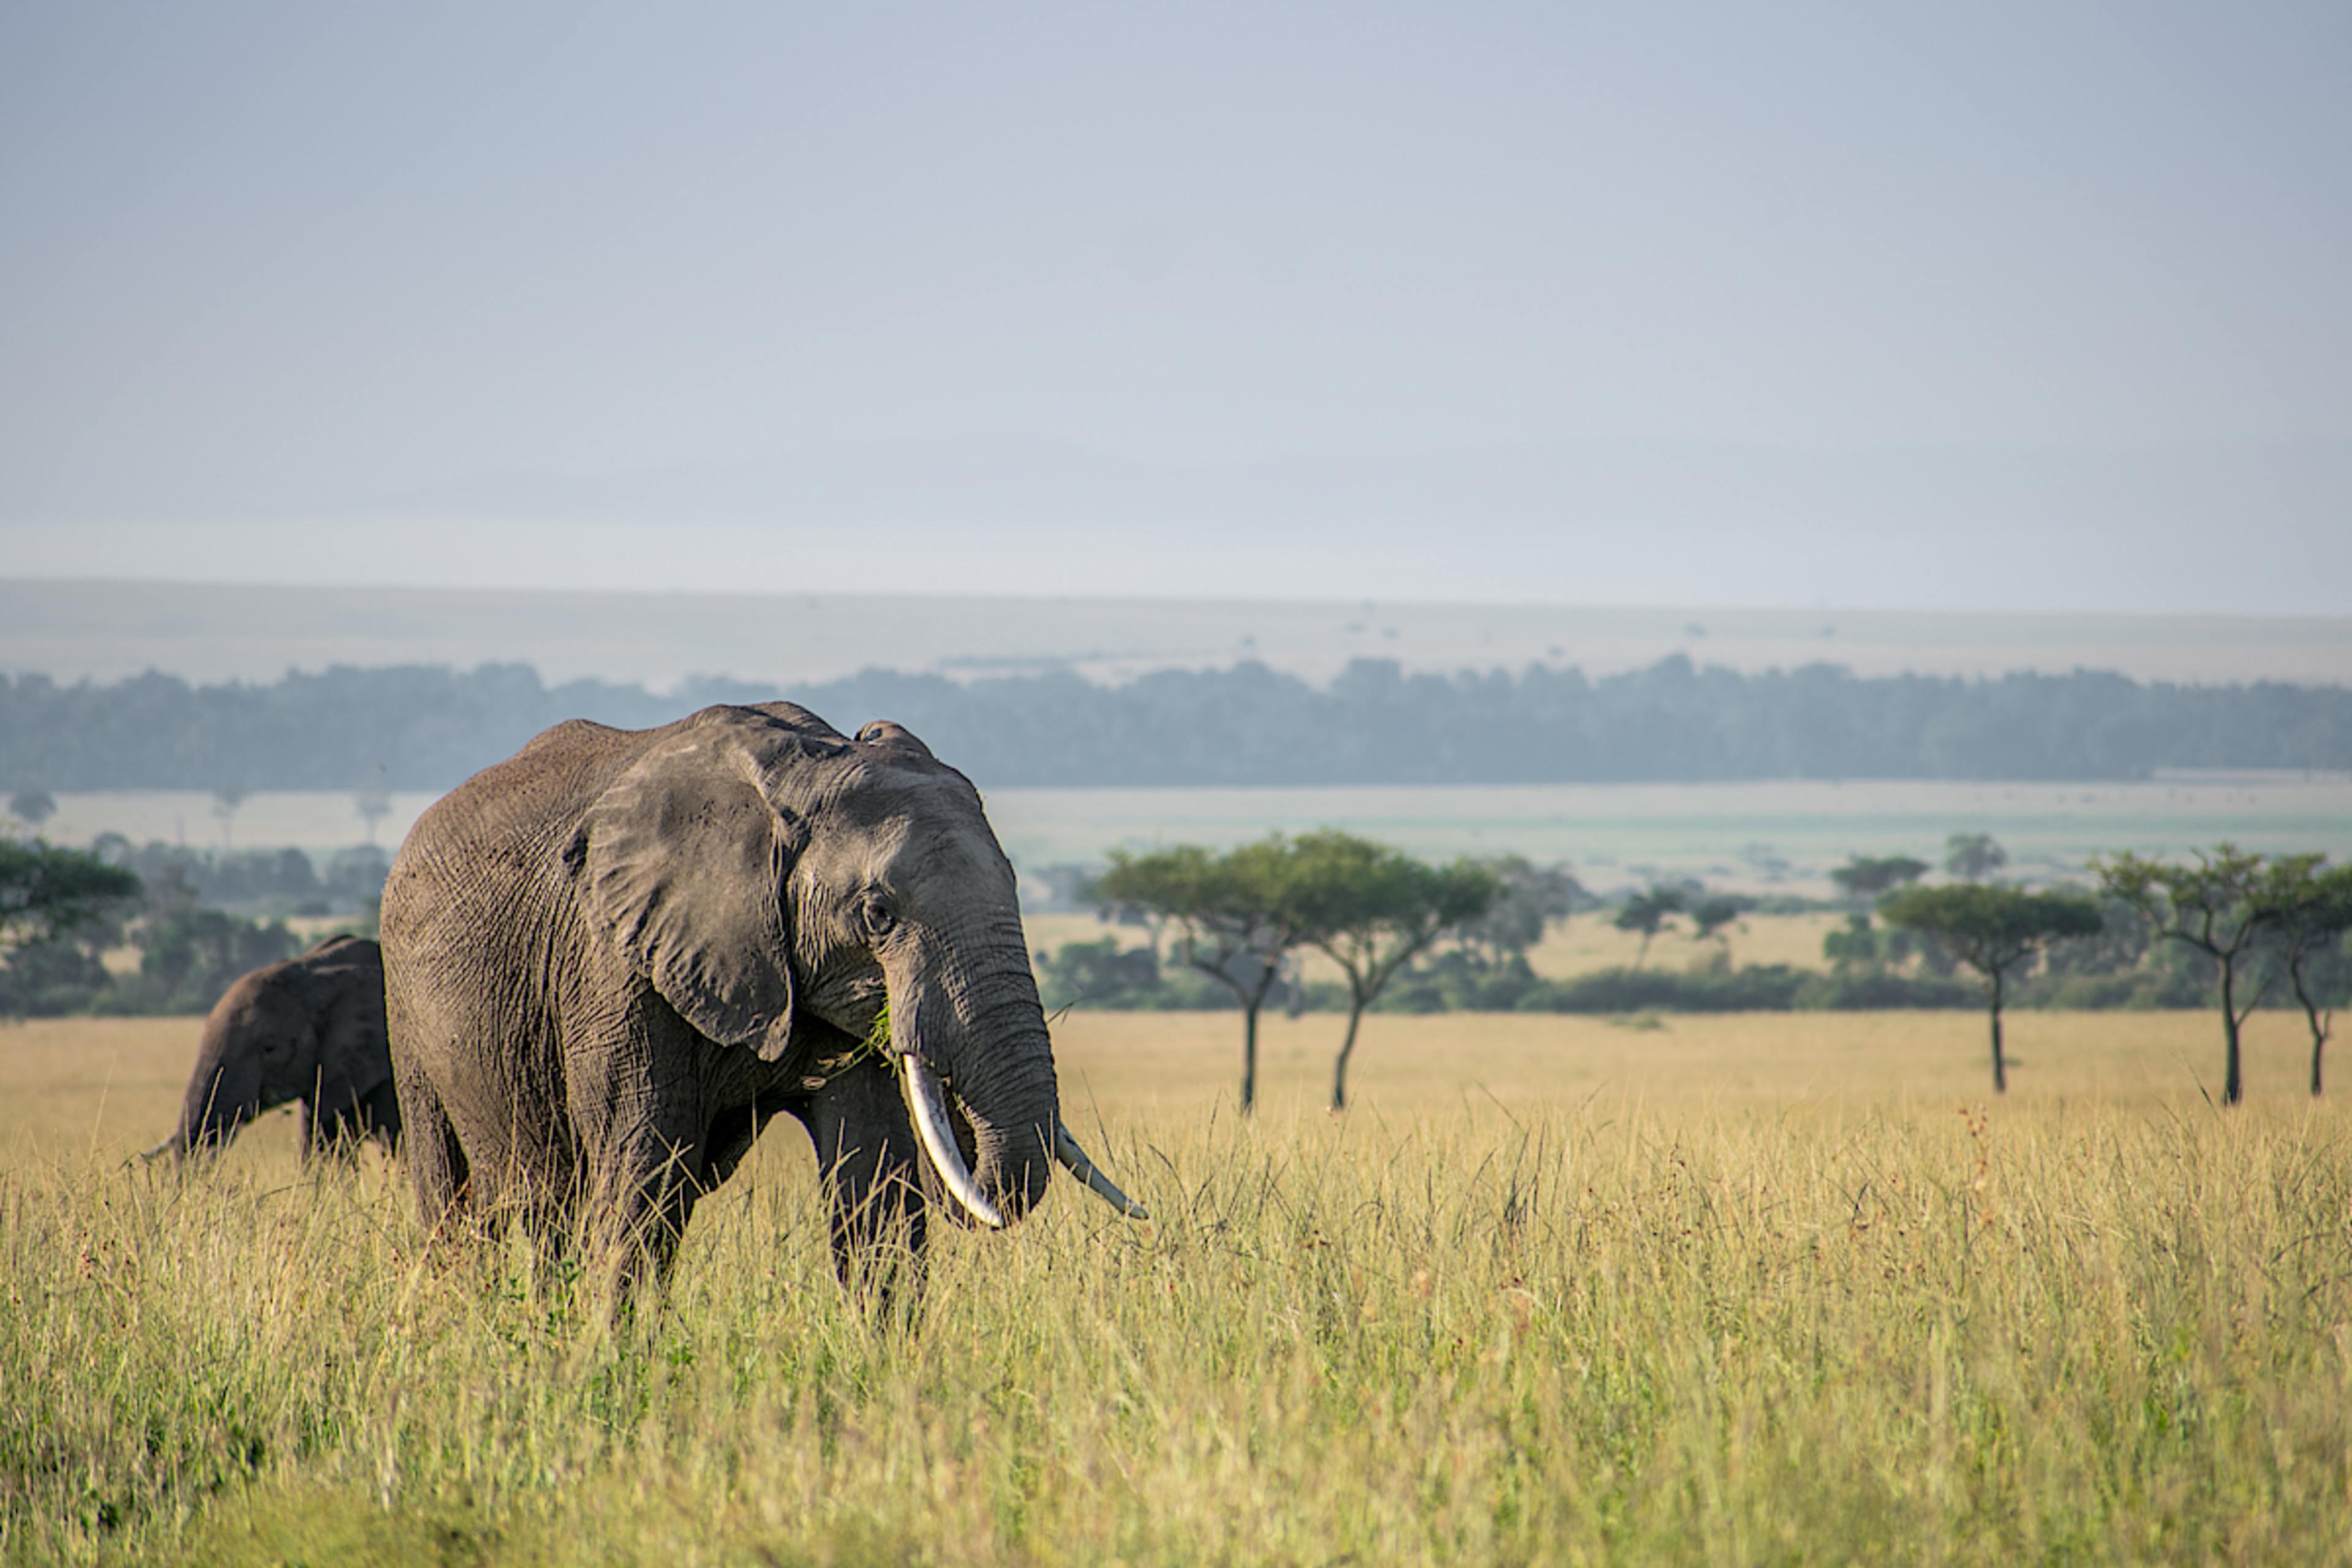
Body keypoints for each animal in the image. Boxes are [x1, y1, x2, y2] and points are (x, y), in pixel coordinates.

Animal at [380, 701, 1142, 1290]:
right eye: (878, 914)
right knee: (463, 1201)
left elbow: (878, 1187)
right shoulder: (616, 963)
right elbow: (643, 1170)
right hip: (407, 1012)